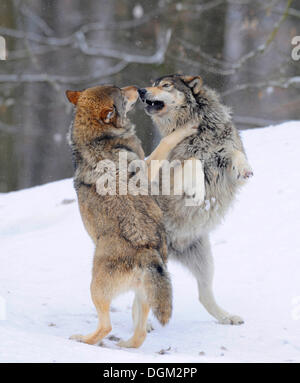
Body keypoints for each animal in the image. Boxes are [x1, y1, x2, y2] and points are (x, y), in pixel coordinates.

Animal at [65, 84, 196, 348]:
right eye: (121, 93)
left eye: (118, 87)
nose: (139, 88)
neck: (96, 138)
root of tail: (146, 252)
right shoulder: (146, 163)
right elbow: (165, 141)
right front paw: (188, 126)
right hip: (97, 288)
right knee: (108, 327)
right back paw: (83, 340)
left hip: (141, 295)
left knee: (138, 335)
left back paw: (119, 345)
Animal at [139, 74, 253, 324]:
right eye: (152, 83)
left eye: (165, 85)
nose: (141, 90)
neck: (199, 132)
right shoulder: (172, 177)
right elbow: (193, 163)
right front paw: (198, 192)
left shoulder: (227, 160)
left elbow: (235, 153)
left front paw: (245, 168)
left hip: (205, 261)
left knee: (204, 295)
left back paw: (226, 317)